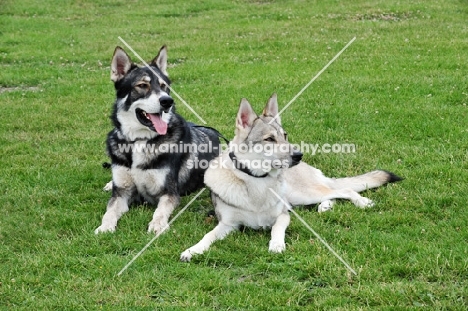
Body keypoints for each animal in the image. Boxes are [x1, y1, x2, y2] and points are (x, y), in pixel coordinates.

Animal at [95, 46, 221, 235]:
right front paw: (104, 227)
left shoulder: (169, 193)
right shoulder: (122, 193)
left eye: (163, 86)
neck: (140, 140)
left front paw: (157, 225)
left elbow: (160, 211)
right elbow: (109, 211)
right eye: (142, 85)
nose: (167, 101)